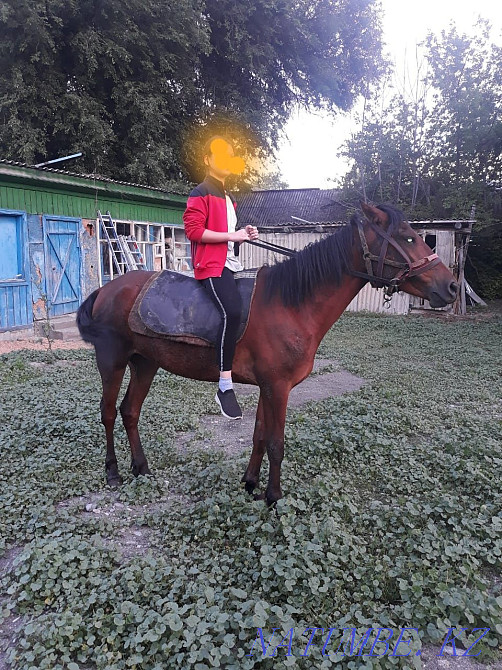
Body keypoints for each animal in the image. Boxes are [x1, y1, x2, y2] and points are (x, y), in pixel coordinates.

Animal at [77, 202, 458, 505]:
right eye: (407, 238)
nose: (452, 286)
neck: (291, 303)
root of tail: (106, 289)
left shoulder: (267, 386)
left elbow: (259, 435)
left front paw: (250, 483)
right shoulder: (278, 387)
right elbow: (276, 442)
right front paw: (273, 497)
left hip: (145, 363)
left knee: (130, 412)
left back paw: (141, 467)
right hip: (112, 362)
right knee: (108, 413)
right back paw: (113, 472)